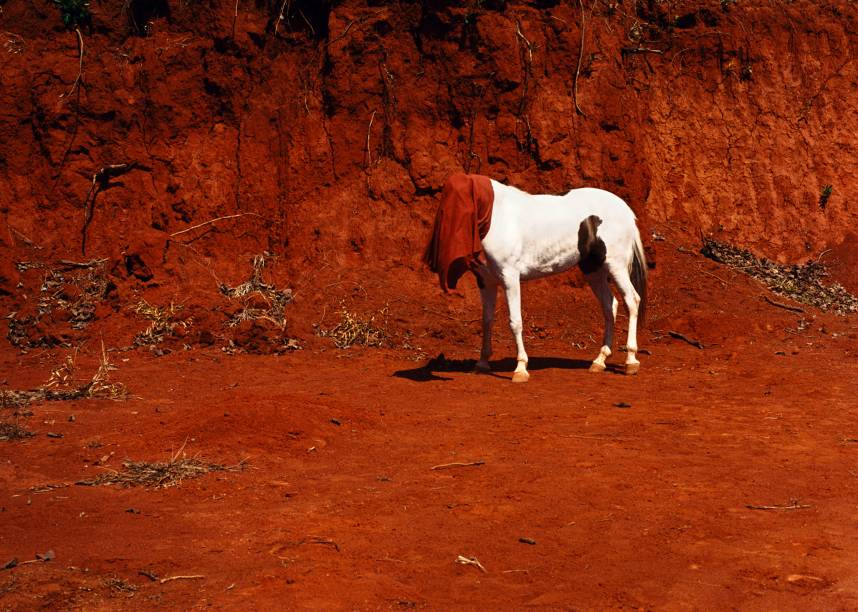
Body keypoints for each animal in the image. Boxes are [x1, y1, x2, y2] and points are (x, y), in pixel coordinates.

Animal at [424, 173, 644, 382]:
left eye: (456, 201)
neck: (496, 217)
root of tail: (626, 211)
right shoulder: (487, 282)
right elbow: (486, 320)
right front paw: (482, 363)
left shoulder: (510, 278)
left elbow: (515, 322)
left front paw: (520, 369)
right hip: (594, 270)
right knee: (610, 305)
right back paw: (600, 360)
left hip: (616, 265)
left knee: (632, 301)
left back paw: (631, 360)